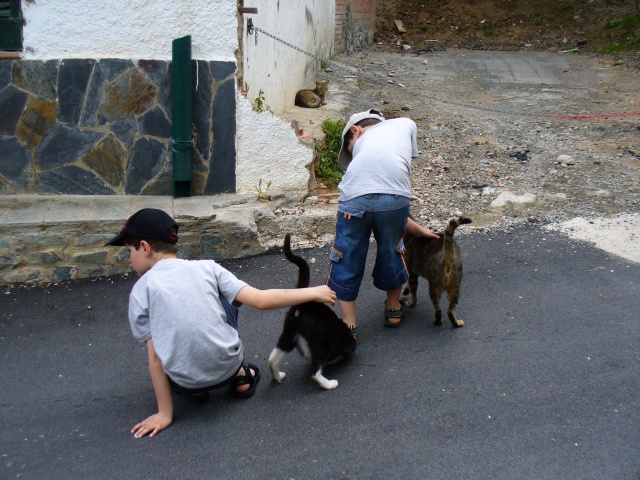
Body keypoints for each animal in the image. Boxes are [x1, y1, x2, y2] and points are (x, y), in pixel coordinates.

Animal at [268, 234, 358, 388]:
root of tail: (304, 302)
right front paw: (335, 360)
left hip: (289, 334)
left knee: (272, 359)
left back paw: (278, 376)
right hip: (322, 344)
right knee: (314, 373)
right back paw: (329, 383)